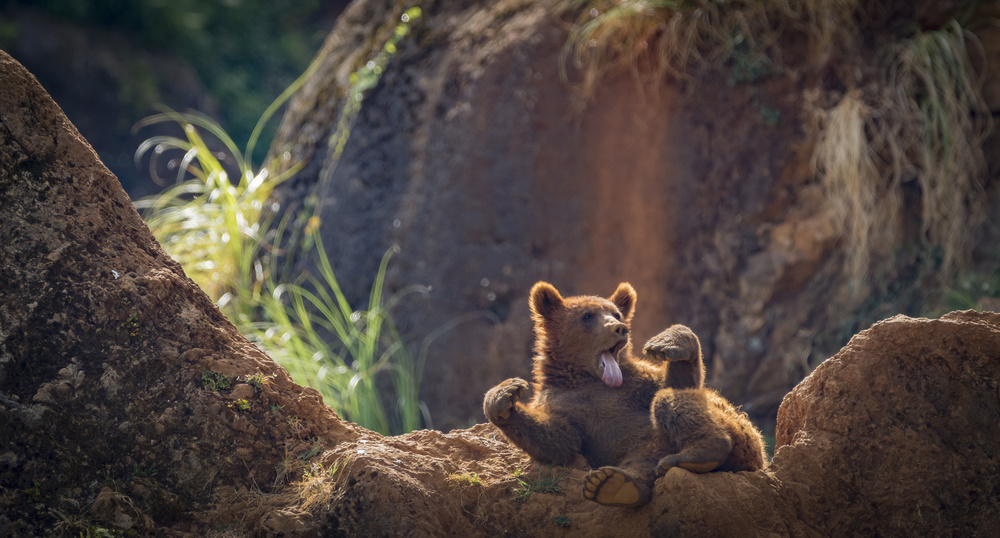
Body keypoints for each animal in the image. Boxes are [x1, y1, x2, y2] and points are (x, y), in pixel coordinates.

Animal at [483, 281, 765, 507]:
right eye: (587, 316)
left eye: (616, 313)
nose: (619, 328)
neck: (589, 379)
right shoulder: (564, 404)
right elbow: (558, 440)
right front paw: (504, 395)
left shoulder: (636, 383)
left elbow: (677, 382)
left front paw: (669, 342)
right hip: (647, 449)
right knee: (642, 464)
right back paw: (611, 484)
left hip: (740, 431)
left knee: (669, 401)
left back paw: (700, 452)